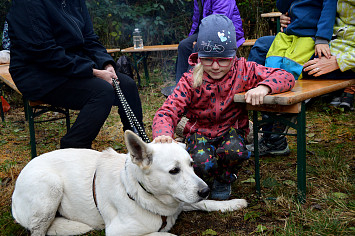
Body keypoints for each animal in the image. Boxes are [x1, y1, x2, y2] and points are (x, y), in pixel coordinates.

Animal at [13, 130, 248, 235]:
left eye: (191, 165)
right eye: (174, 171)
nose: (206, 190)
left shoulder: (182, 201)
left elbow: (206, 204)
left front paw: (231, 203)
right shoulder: (118, 231)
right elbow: (162, 234)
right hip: (50, 187)